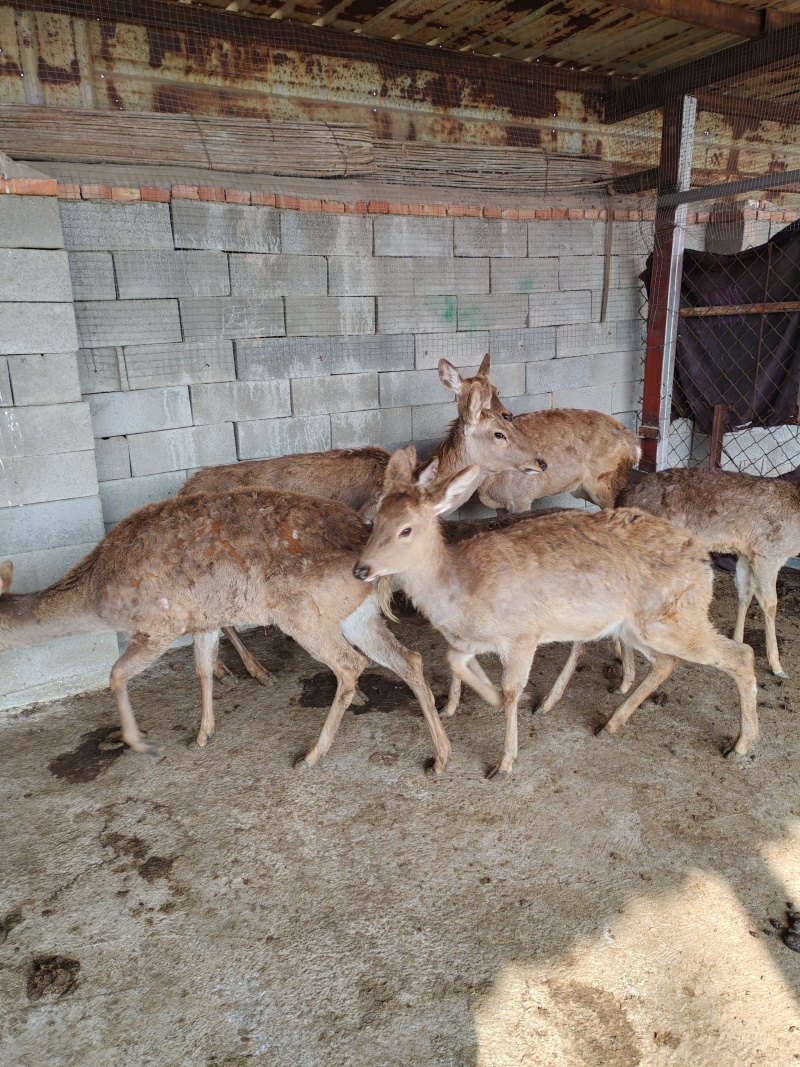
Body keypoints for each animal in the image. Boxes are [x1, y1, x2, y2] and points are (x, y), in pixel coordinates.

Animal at [0, 488, 453, 774]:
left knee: (349, 665)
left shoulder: (159, 624)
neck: (98, 597)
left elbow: (115, 675)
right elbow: (202, 669)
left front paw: (143, 744)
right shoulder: (205, 618)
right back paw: (441, 756)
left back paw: (311, 755)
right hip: (354, 614)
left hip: (302, 613)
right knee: (409, 658)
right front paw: (202, 734)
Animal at [353, 446, 758, 779]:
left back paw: (741, 743)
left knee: (739, 654)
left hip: (673, 618)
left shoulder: (522, 634)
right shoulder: (472, 639)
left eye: (406, 529)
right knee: (666, 662)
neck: (462, 586)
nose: (361, 569)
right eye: (375, 522)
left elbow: (512, 690)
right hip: (636, 627)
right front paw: (473, 702)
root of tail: (704, 562)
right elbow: (455, 661)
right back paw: (610, 723)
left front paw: (503, 762)